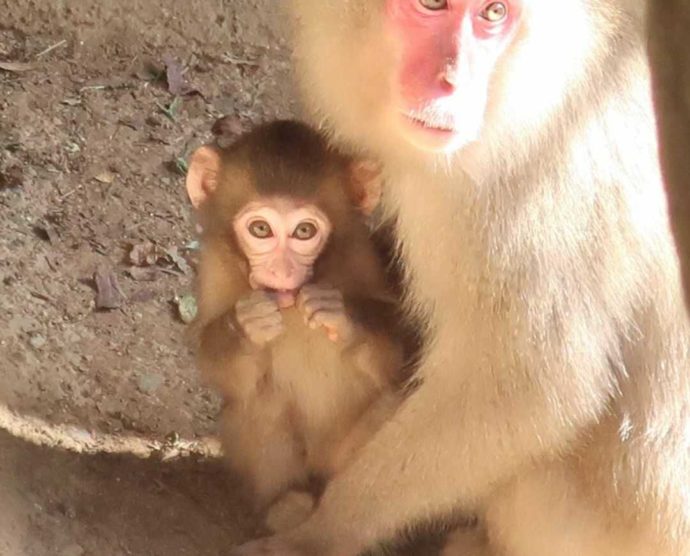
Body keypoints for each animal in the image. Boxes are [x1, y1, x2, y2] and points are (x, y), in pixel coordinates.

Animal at [185, 120, 406, 528]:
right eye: (260, 229)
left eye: (304, 232)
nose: (283, 271)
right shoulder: (215, 266)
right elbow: (216, 365)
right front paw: (247, 324)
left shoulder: (363, 255)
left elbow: (400, 352)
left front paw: (341, 314)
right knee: (259, 397)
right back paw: (285, 503)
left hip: (342, 458)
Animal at [232, 1, 688, 556]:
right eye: (433, 5)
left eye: (492, 13)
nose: (451, 83)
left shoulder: (534, 194)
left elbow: (530, 386)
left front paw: (320, 533)